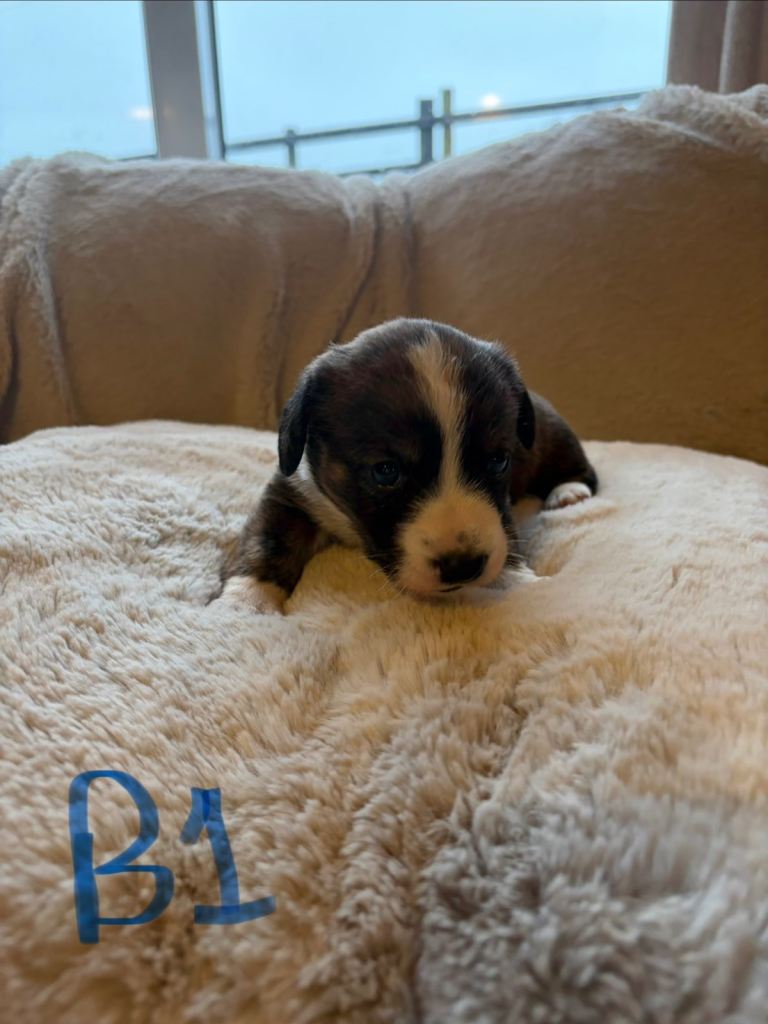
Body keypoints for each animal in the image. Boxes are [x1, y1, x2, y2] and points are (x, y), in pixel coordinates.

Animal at [219, 318, 597, 613]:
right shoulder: (291, 494)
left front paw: (520, 582)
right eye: (385, 471)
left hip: (554, 437)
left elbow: (508, 534)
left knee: (581, 469)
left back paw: (569, 492)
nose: (463, 566)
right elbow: (267, 541)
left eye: (498, 461)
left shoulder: (503, 504)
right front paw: (246, 601)